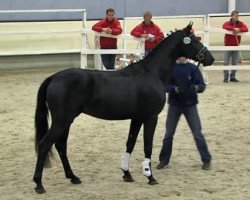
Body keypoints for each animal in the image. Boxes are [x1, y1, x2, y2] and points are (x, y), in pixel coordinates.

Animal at [32, 23, 213, 194]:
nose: (210, 58)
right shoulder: (150, 117)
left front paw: (127, 174)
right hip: (61, 121)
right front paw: (150, 177)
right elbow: (147, 146)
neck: (151, 73)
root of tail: (53, 77)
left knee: (61, 146)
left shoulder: (137, 118)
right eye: (195, 40)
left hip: (67, 121)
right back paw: (39, 184)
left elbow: (130, 143)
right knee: (44, 145)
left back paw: (73, 177)